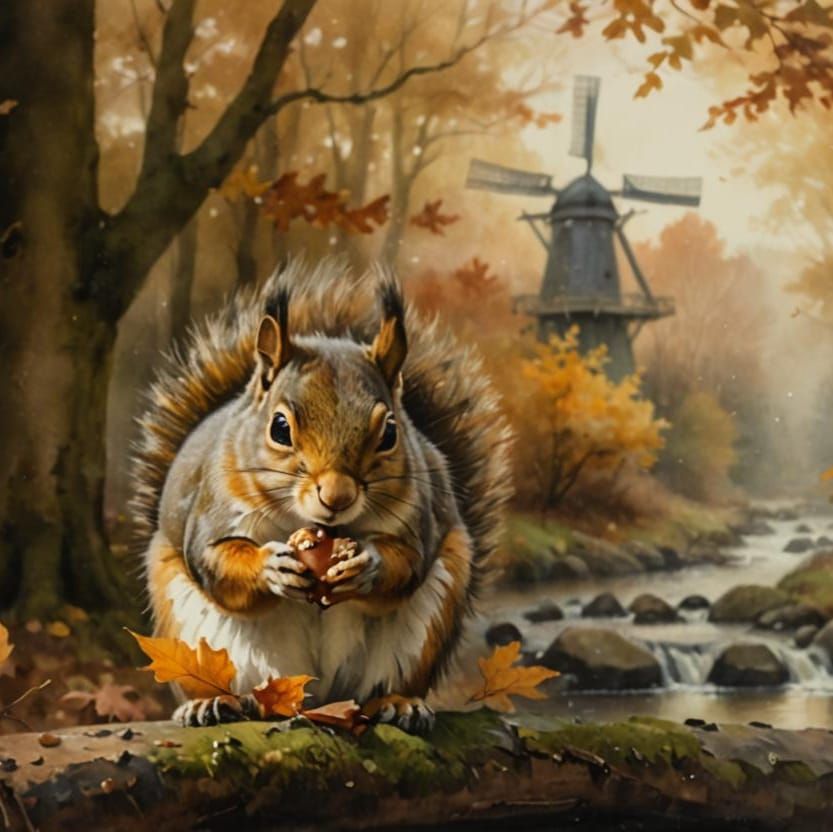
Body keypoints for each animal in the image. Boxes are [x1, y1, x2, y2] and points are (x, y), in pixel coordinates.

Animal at [132, 260, 512, 731]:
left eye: (390, 433)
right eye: (279, 427)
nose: (337, 496)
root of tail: (318, 696)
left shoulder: (419, 518)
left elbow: (408, 561)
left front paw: (366, 565)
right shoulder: (212, 511)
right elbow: (216, 563)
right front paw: (270, 567)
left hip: (424, 628)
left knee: (384, 683)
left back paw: (397, 703)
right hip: (194, 632)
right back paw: (214, 702)